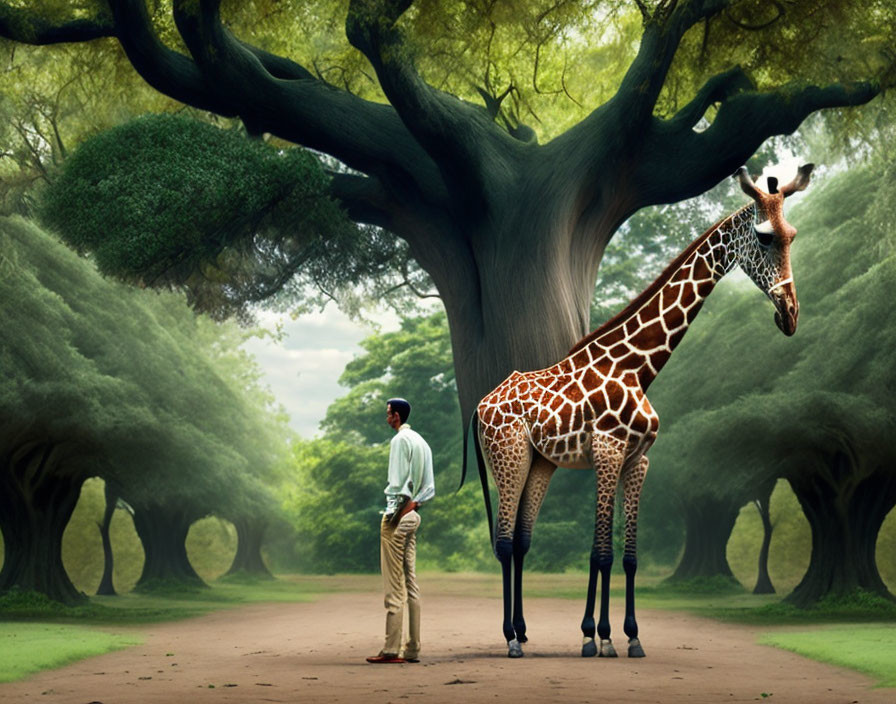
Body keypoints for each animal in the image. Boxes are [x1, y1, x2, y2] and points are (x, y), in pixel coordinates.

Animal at [468, 162, 812, 656]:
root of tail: (480, 405)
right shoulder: (608, 452)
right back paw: (510, 640)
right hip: (507, 457)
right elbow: (601, 552)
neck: (638, 368)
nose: (790, 315)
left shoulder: (637, 459)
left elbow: (627, 556)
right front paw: (595, 637)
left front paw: (625, 635)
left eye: (792, 235)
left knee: (520, 540)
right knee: (502, 541)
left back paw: (523, 630)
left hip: (538, 463)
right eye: (765, 237)